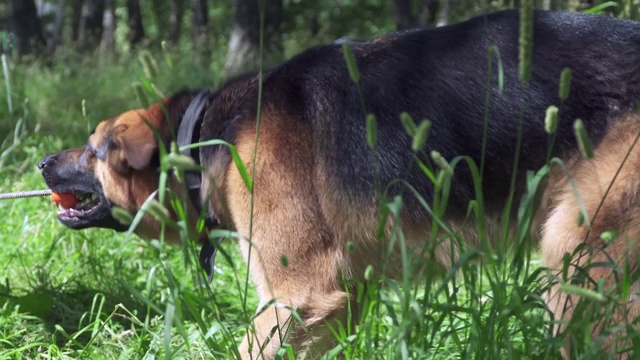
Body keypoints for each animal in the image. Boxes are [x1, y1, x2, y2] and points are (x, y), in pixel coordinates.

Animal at [38, 9, 640, 360]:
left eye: (93, 149)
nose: (42, 161)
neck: (206, 136)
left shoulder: (300, 295)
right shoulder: (339, 303)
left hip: (579, 259)